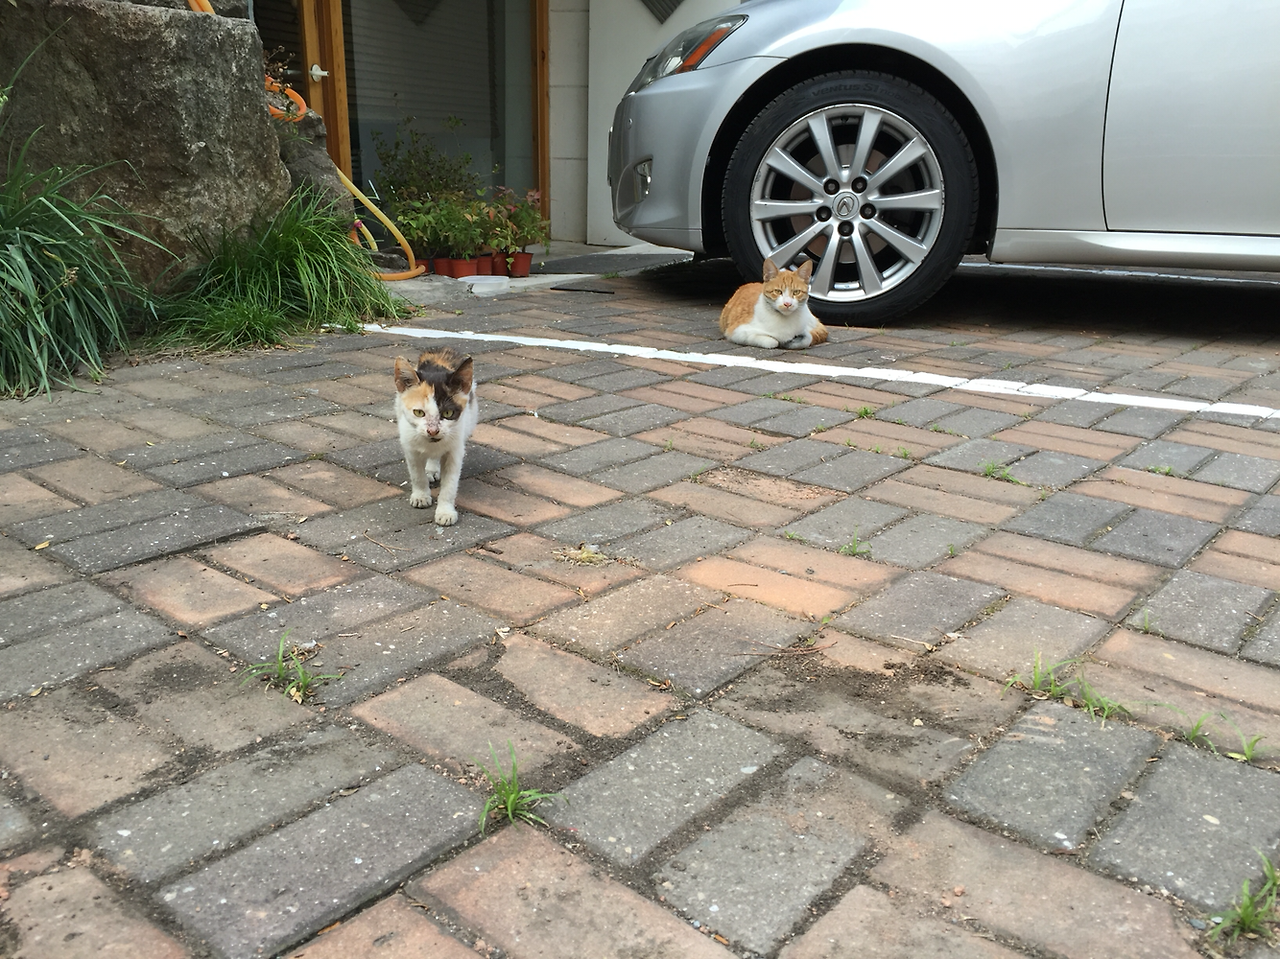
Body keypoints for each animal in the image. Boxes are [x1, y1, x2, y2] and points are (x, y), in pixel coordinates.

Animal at [393, 347, 477, 526]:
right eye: (419, 412)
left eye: (448, 413)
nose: (433, 431)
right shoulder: (410, 446)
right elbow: (417, 474)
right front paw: (421, 496)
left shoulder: (455, 450)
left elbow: (450, 484)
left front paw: (445, 511)